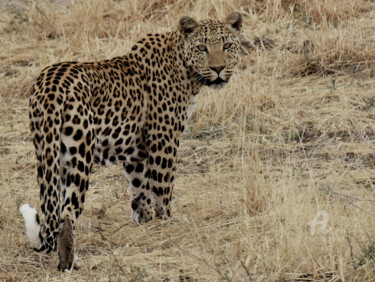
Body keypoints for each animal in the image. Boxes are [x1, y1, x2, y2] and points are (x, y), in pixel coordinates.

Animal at [19, 12, 244, 270]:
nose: (218, 68)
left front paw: (144, 221)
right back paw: (70, 260)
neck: (186, 71)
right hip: (79, 154)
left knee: (53, 209)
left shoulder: (136, 151)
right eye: (202, 48)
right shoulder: (163, 140)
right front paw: (167, 224)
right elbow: (163, 189)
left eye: (227, 46)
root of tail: (50, 85)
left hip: (47, 151)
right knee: (67, 211)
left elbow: (140, 188)